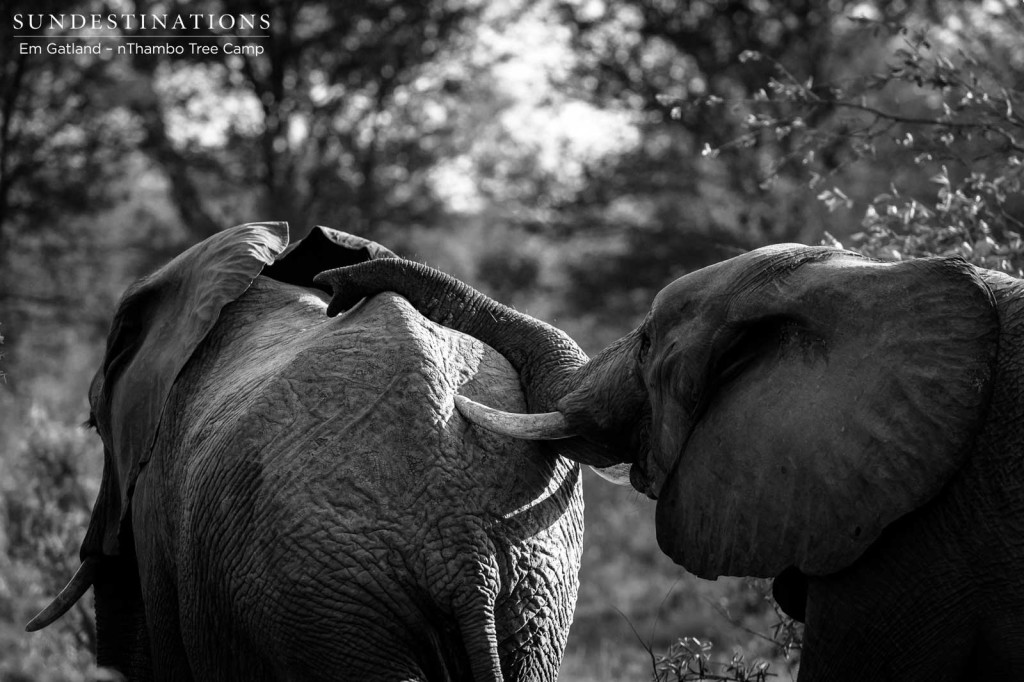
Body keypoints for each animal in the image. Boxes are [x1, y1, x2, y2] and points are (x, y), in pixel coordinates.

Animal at [25, 223, 585, 679]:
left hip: (329, 598)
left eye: (93, 425)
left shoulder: (154, 496)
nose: (337, 288)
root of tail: (466, 558)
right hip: (527, 598)